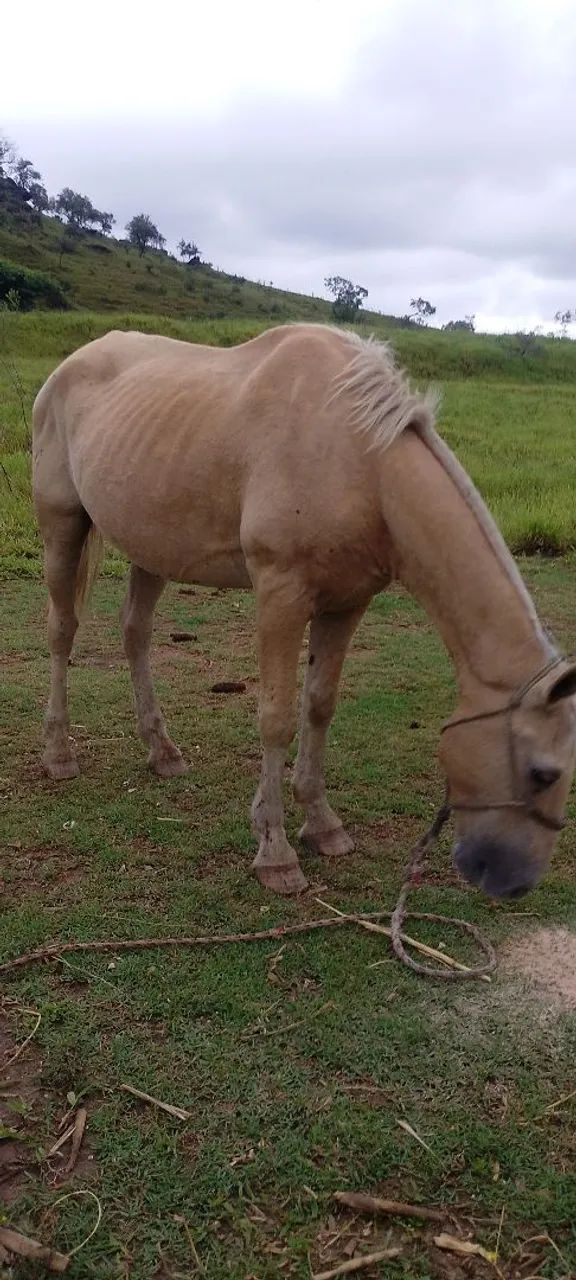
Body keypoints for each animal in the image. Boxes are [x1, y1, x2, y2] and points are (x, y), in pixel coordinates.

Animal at [32, 323, 576, 897]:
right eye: (542, 773)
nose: (515, 882)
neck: (358, 460)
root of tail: (67, 367)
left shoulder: (346, 605)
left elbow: (319, 706)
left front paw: (321, 824)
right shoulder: (280, 596)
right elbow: (275, 718)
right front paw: (275, 851)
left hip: (151, 548)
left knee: (135, 633)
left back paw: (162, 752)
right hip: (62, 526)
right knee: (62, 631)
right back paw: (59, 753)